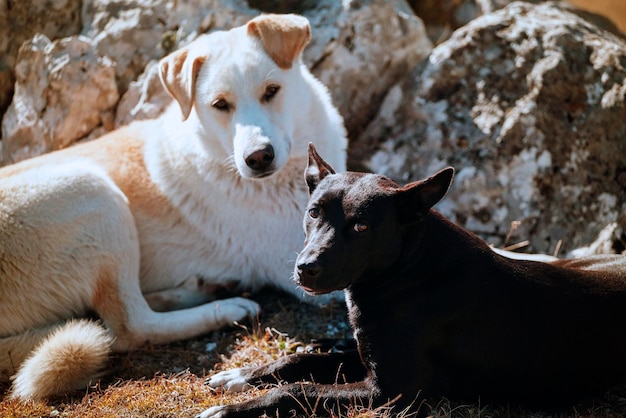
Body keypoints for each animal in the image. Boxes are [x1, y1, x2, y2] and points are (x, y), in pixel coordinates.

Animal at [0, 12, 346, 398]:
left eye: (271, 91)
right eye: (220, 105)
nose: (258, 158)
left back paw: (207, 289)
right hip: (93, 192)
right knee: (130, 326)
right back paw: (225, 309)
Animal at [197, 145, 624, 418]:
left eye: (362, 226)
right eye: (314, 212)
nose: (306, 268)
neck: (409, 270)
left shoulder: (391, 392)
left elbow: (295, 390)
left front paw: (229, 410)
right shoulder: (368, 357)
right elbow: (296, 361)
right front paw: (238, 376)